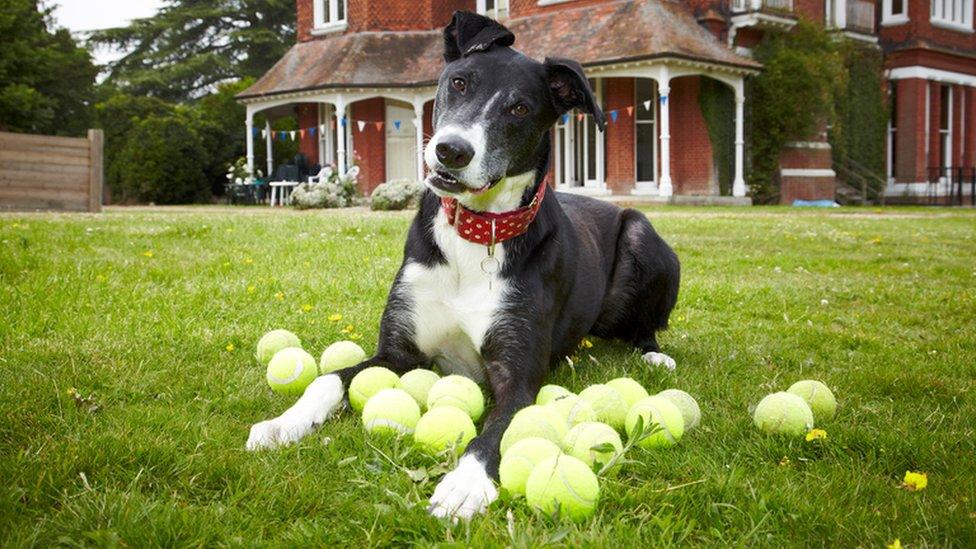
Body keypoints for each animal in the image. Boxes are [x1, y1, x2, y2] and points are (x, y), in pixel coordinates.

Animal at [248, 11, 680, 520]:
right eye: (459, 82)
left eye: (519, 109)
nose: (452, 151)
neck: (475, 237)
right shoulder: (399, 352)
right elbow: (327, 380)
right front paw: (284, 422)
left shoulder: (518, 378)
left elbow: (500, 430)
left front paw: (465, 483)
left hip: (641, 233)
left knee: (645, 324)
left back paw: (653, 353)